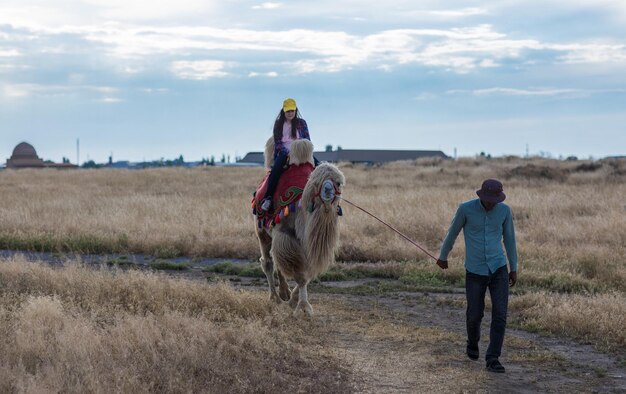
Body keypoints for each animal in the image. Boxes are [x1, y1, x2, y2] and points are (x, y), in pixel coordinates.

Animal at [251, 139, 344, 318]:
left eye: (338, 182)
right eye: (316, 182)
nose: (328, 190)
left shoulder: (308, 242)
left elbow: (307, 273)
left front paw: (294, 300)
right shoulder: (286, 235)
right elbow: (300, 275)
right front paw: (303, 307)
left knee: (276, 260)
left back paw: (284, 293)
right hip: (261, 229)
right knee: (268, 261)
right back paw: (275, 298)